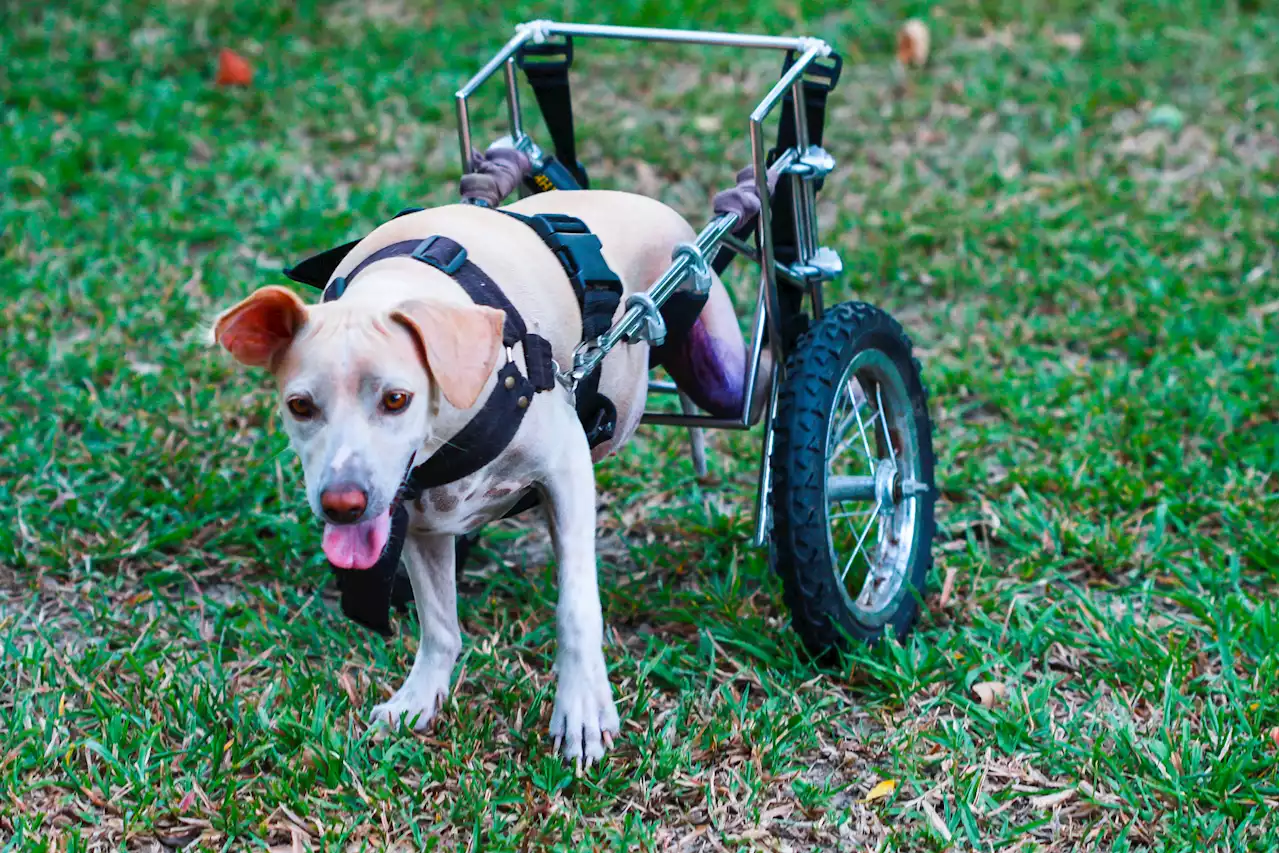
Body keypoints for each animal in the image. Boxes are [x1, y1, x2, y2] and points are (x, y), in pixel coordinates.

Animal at [215, 189, 762, 758]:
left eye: (396, 399)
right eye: (299, 406)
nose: (342, 504)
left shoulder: (567, 470)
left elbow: (576, 608)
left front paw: (582, 709)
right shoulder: (418, 518)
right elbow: (439, 624)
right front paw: (420, 698)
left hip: (719, 368)